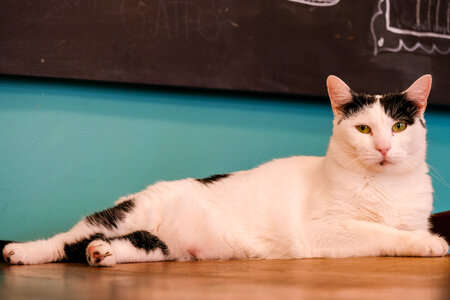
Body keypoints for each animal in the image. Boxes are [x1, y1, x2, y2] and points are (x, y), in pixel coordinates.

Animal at [1, 74, 448, 266]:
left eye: (398, 127)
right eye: (363, 129)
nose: (384, 147)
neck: (386, 187)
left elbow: (400, 229)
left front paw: (424, 238)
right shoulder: (327, 230)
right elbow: (383, 233)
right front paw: (429, 244)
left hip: (161, 247)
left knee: (119, 244)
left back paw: (102, 253)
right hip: (129, 212)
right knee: (67, 239)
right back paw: (23, 252)